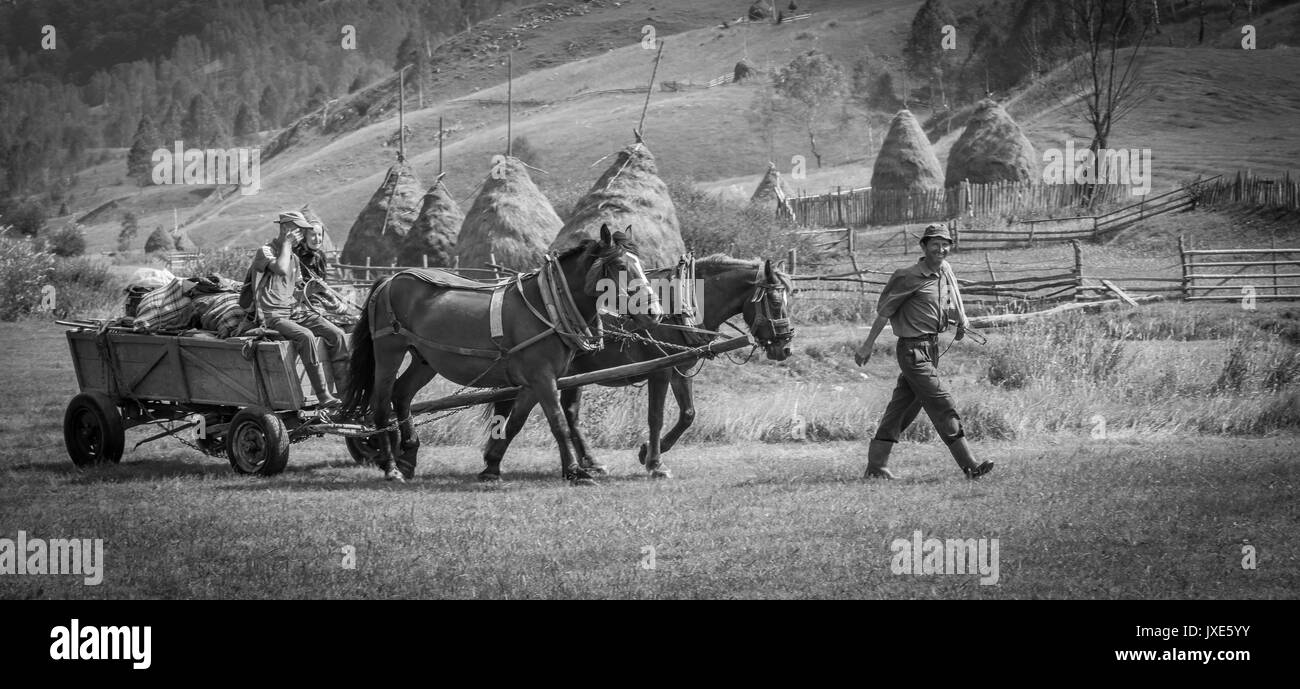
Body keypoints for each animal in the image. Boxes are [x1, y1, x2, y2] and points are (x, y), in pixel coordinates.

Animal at [343, 226, 660, 483]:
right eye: (619, 265)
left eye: (640, 264)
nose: (654, 312)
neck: (548, 304)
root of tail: (390, 278)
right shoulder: (542, 377)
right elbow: (558, 422)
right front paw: (576, 471)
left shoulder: (535, 382)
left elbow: (516, 423)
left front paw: (491, 466)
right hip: (389, 351)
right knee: (381, 404)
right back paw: (390, 467)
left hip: (425, 359)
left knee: (402, 394)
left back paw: (408, 457)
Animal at [488, 254, 790, 475]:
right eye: (776, 302)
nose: (785, 347)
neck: (682, 304)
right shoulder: (661, 370)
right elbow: (655, 416)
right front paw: (655, 464)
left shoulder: (680, 368)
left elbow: (688, 414)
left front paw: (648, 451)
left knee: (569, 414)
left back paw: (589, 462)